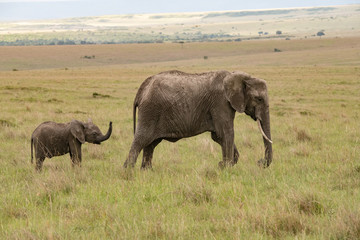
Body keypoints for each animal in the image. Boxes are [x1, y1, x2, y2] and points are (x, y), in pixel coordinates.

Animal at [124, 70, 272, 169]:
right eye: (259, 99)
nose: (260, 162)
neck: (240, 76)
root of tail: (142, 89)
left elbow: (218, 136)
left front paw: (223, 165)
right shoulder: (220, 103)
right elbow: (226, 134)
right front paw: (226, 167)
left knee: (150, 144)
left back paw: (147, 172)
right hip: (150, 111)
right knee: (141, 140)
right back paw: (129, 172)